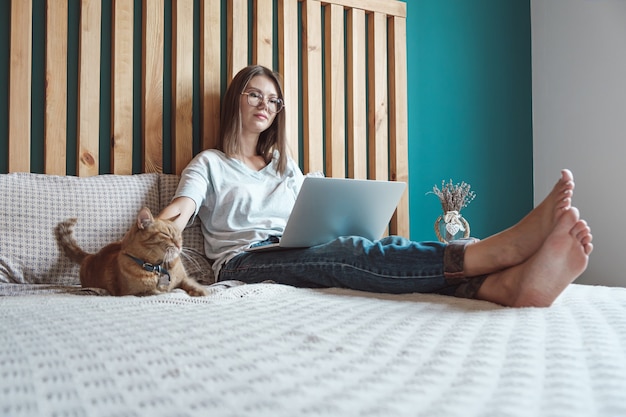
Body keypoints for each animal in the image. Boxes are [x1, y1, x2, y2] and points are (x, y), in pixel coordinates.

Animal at [54, 206, 206, 296]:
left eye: (179, 236)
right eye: (166, 234)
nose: (179, 246)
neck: (157, 267)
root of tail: (90, 256)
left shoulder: (183, 279)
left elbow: (190, 283)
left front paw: (201, 291)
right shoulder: (136, 292)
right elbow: (156, 292)